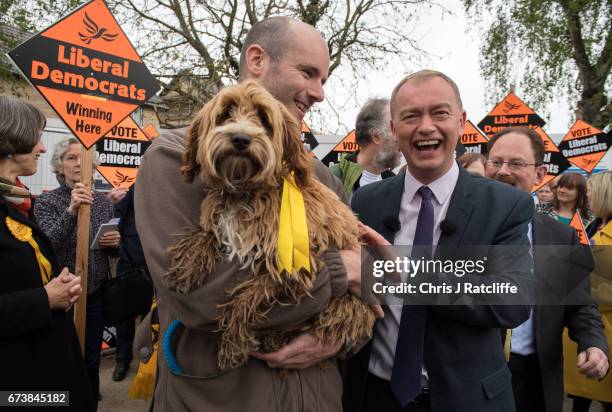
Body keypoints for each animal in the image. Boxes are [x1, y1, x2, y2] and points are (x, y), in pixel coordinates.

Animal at [164, 80, 372, 370]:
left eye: (263, 118)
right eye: (225, 114)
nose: (241, 139)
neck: (247, 190)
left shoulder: (295, 263)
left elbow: (246, 296)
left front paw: (233, 342)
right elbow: (208, 231)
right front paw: (188, 264)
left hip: (346, 304)